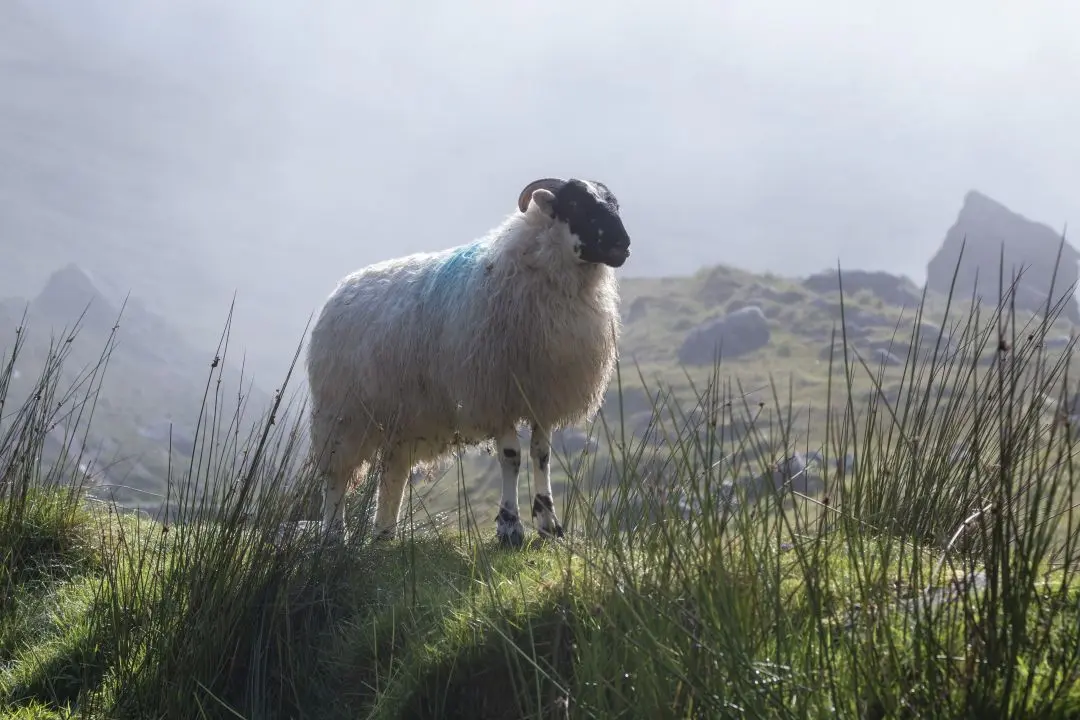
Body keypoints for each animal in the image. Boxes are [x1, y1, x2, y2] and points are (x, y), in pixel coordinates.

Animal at [306, 175, 630, 546]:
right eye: (575, 204)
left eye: (614, 203)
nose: (623, 244)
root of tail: (343, 286)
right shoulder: (495, 392)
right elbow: (511, 457)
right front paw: (510, 528)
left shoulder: (542, 394)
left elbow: (541, 456)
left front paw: (549, 525)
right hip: (342, 412)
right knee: (337, 473)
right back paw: (333, 535)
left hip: (402, 417)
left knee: (393, 472)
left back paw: (385, 534)